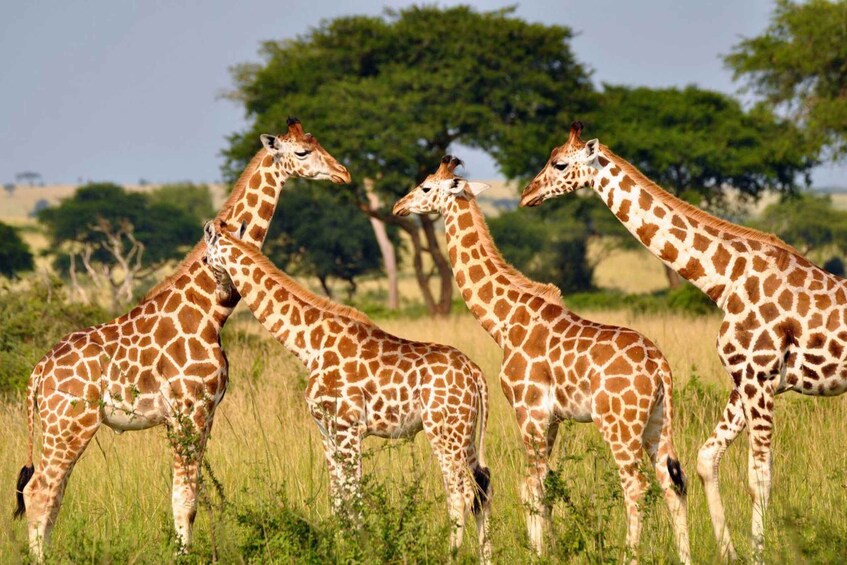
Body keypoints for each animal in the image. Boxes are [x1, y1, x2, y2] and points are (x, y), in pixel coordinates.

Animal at [12, 118, 350, 559]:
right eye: (302, 152)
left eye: (318, 142)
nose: (343, 173)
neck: (210, 310)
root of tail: (37, 373)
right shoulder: (189, 409)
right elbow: (185, 498)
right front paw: (183, 556)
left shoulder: (204, 412)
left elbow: (189, 495)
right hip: (69, 422)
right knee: (40, 489)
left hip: (63, 425)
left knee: (53, 490)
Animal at [202, 219, 493, 561]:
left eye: (206, 260)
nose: (222, 295)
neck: (308, 344)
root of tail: (475, 372)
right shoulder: (326, 430)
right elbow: (338, 497)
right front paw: (342, 548)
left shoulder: (348, 428)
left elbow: (354, 496)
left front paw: (360, 551)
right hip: (465, 432)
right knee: (482, 486)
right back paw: (487, 557)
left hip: (443, 432)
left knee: (460, 492)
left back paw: (451, 555)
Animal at [393, 156, 691, 563]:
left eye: (425, 187)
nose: (398, 207)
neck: (503, 320)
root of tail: (661, 368)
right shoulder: (551, 418)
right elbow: (544, 482)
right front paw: (549, 548)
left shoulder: (528, 409)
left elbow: (530, 483)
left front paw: (538, 552)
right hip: (657, 423)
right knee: (671, 483)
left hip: (619, 424)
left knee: (636, 486)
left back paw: (629, 555)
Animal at [520, 121, 847, 562]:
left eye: (559, 163)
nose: (527, 194)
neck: (725, 281)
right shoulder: (751, 379)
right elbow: (707, 459)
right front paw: (729, 552)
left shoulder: (758, 376)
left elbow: (759, 476)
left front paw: (758, 553)